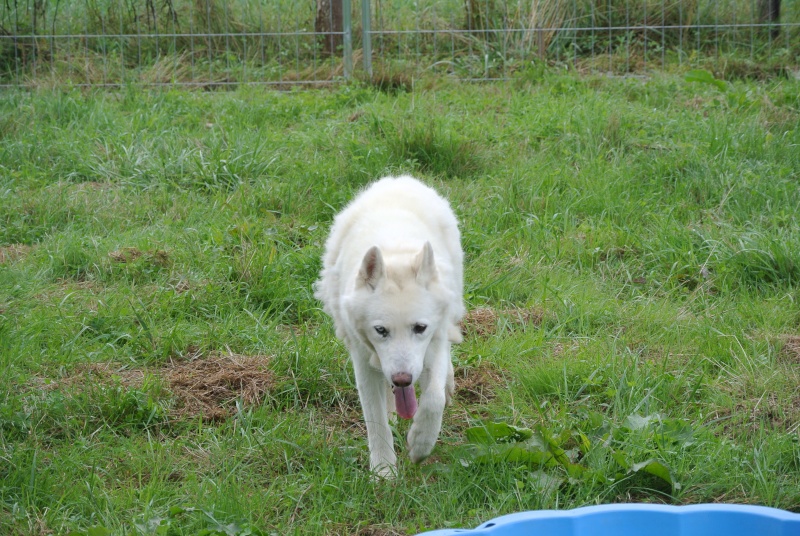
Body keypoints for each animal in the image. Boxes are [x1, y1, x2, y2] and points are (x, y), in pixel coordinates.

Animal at [312, 176, 462, 478]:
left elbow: (434, 399)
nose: (403, 379)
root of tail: (400, 179)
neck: (395, 253)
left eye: (420, 328)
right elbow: (376, 420)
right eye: (381, 330)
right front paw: (383, 473)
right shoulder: (363, 359)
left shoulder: (434, 342)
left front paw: (420, 445)